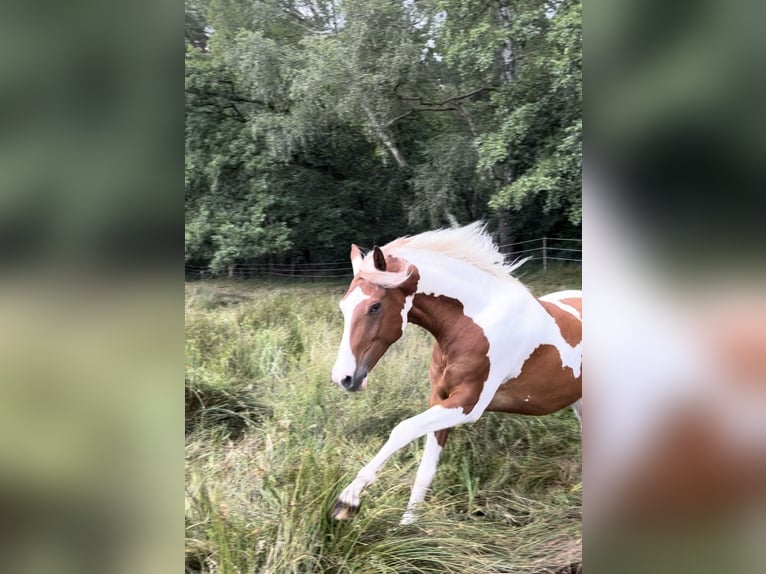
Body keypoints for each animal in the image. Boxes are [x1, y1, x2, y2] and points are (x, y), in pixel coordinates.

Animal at [330, 224, 584, 528]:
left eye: (375, 306)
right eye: (343, 307)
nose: (343, 378)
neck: (475, 322)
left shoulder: (468, 404)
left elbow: (402, 429)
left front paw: (348, 501)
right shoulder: (440, 399)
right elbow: (425, 469)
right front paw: (408, 526)